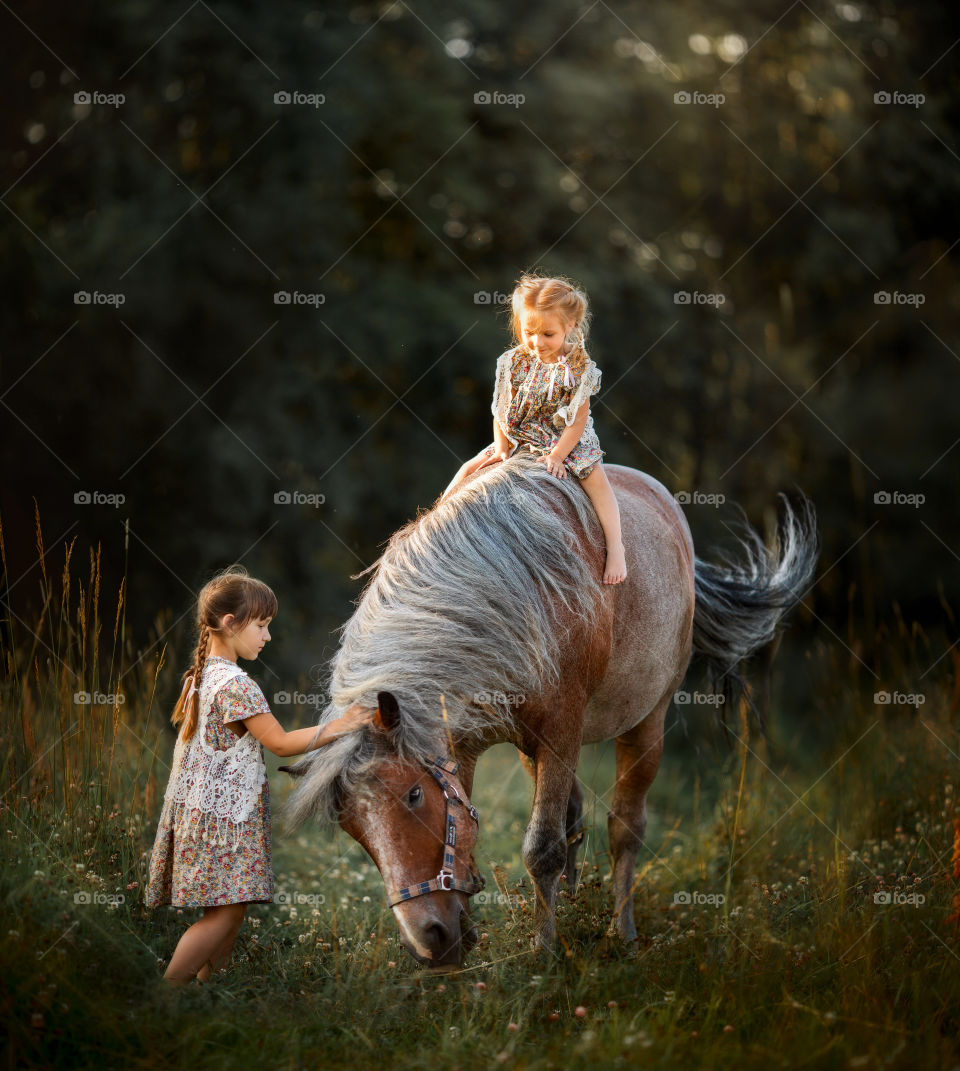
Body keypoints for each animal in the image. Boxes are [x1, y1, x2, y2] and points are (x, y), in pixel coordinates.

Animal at [280, 447, 814, 968]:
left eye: (412, 795)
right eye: (351, 825)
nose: (429, 941)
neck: (512, 592)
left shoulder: (561, 732)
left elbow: (542, 849)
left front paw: (542, 953)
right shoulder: (464, 745)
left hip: (646, 724)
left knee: (625, 828)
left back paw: (621, 932)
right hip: (531, 748)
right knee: (574, 817)